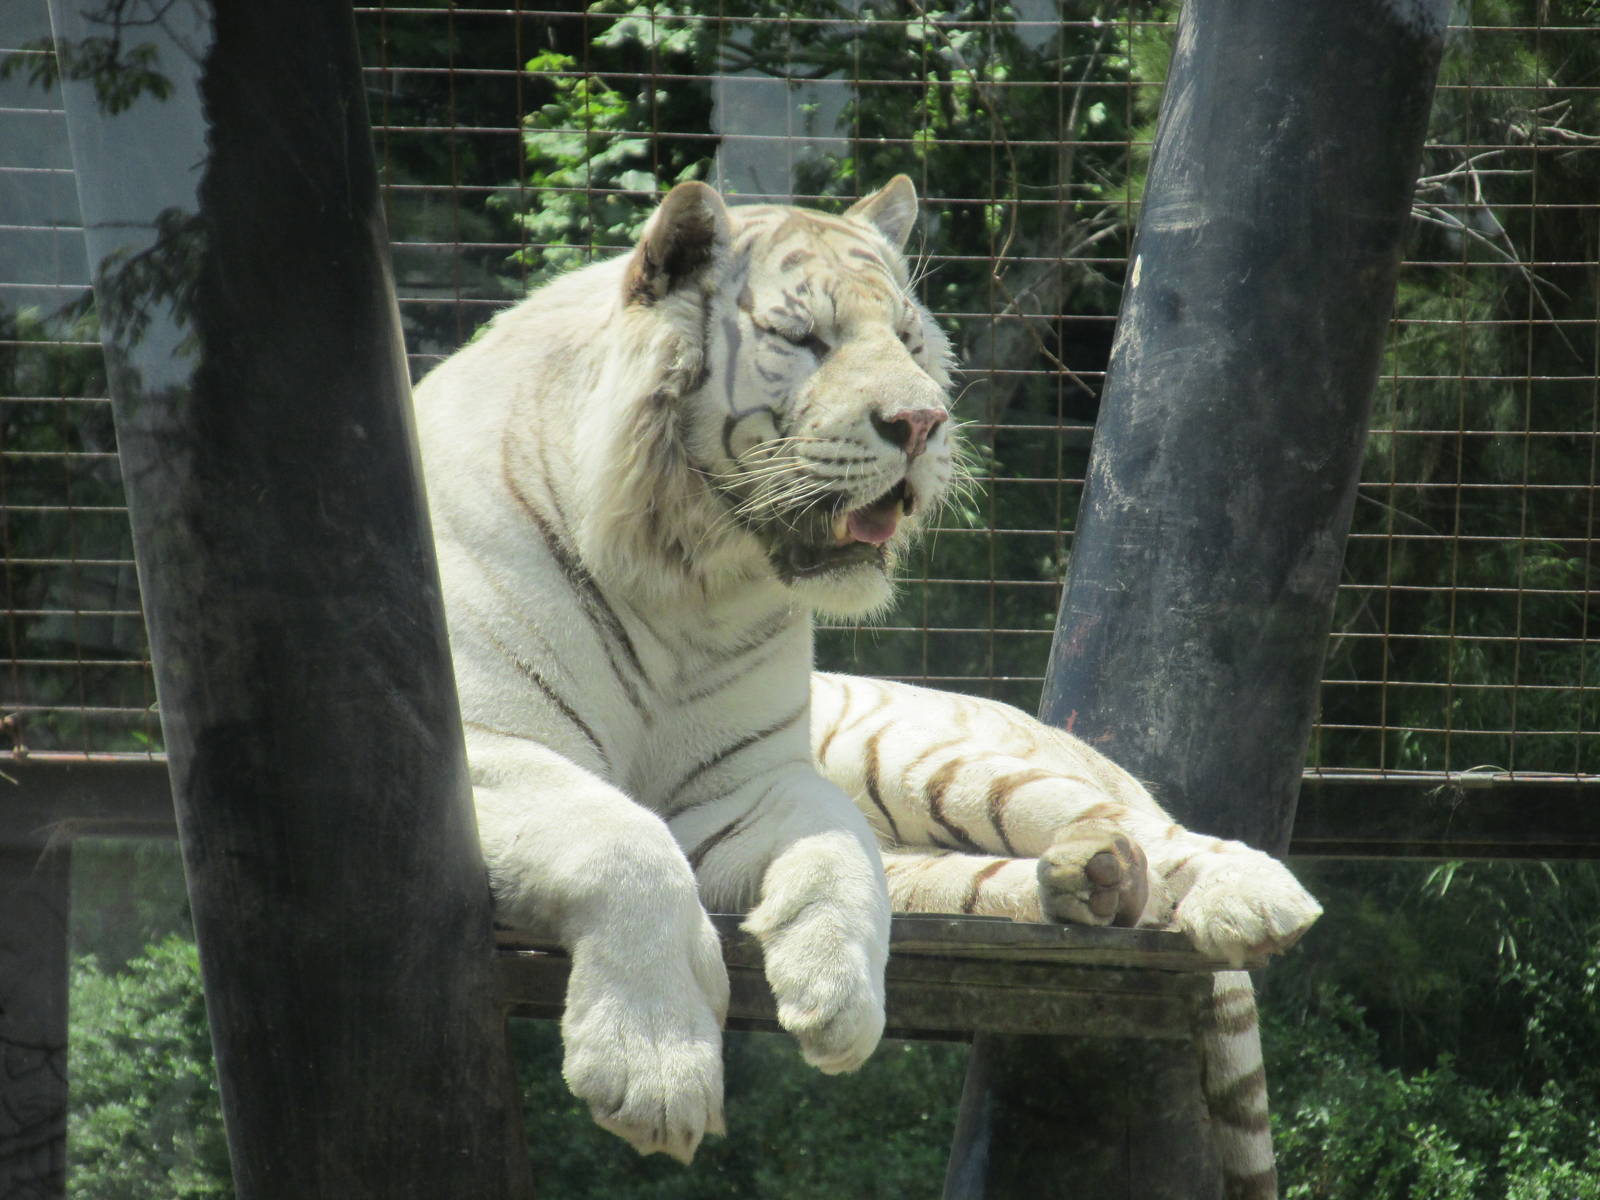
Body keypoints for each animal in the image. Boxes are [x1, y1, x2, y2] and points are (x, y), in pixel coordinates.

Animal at [411, 176, 1322, 1185]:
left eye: (911, 342)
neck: (686, 581)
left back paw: (1246, 892)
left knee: (1141, 826)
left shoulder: (745, 781)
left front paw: (838, 999)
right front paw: (654, 1072)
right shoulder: (485, 754)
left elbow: (834, 835)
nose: (922, 424)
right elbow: (626, 841)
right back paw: (1091, 882)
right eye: (805, 337)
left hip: (921, 754)